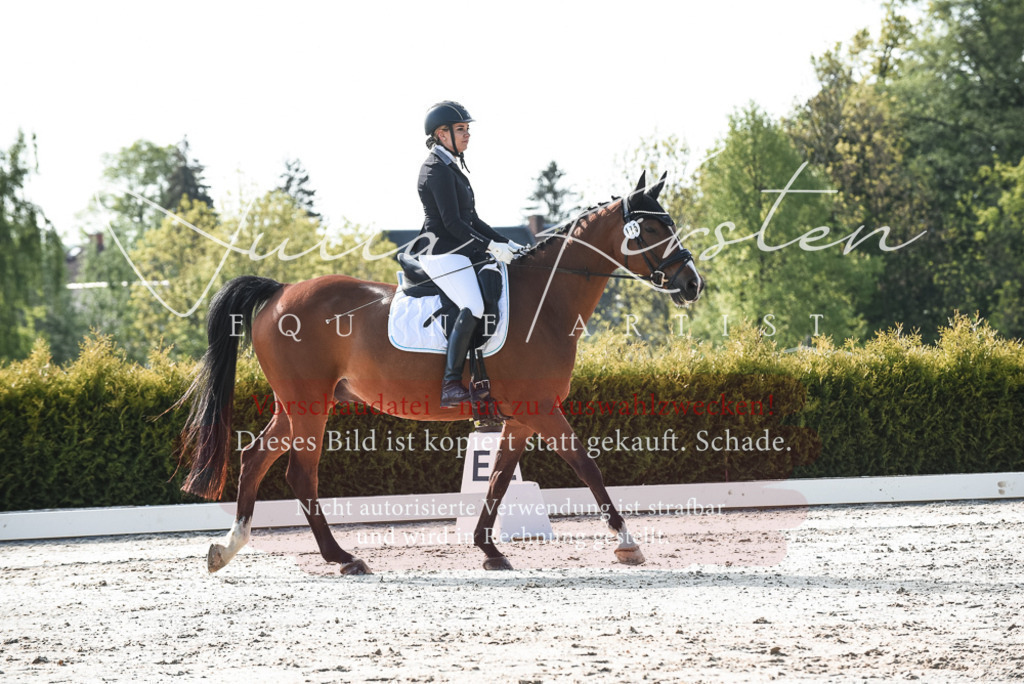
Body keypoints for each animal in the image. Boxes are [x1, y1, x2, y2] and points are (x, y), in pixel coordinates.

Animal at [175, 170, 703, 575]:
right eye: (652, 232)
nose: (693, 285)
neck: (546, 300)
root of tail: (279, 292)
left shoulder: (520, 417)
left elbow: (499, 480)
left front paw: (490, 549)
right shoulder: (542, 409)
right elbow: (587, 466)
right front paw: (627, 542)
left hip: (297, 404)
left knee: (255, 458)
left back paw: (229, 547)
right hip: (308, 405)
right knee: (299, 474)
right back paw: (342, 558)